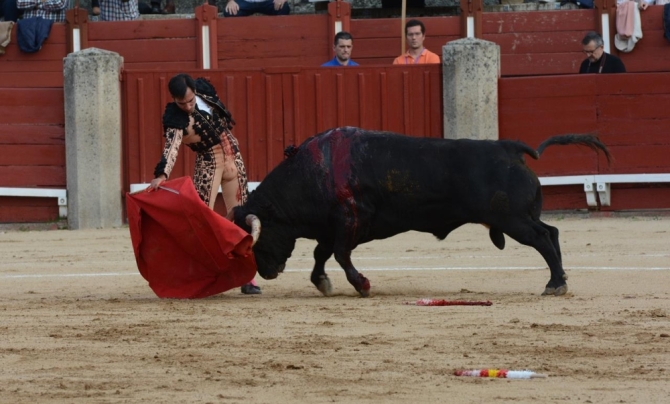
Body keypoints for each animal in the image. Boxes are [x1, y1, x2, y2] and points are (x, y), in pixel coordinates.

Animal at [232, 126, 616, 296]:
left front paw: (362, 284)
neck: (311, 173)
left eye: (256, 240)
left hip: (515, 221)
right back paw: (560, 279)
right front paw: (322, 283)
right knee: (551, 232)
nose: (266, 274)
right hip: (520, 218)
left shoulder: (349, 220)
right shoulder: (332, 226)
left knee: (542, 238)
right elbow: (321, 254)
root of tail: (509, 148)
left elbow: (339, 254)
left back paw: (554, 283)